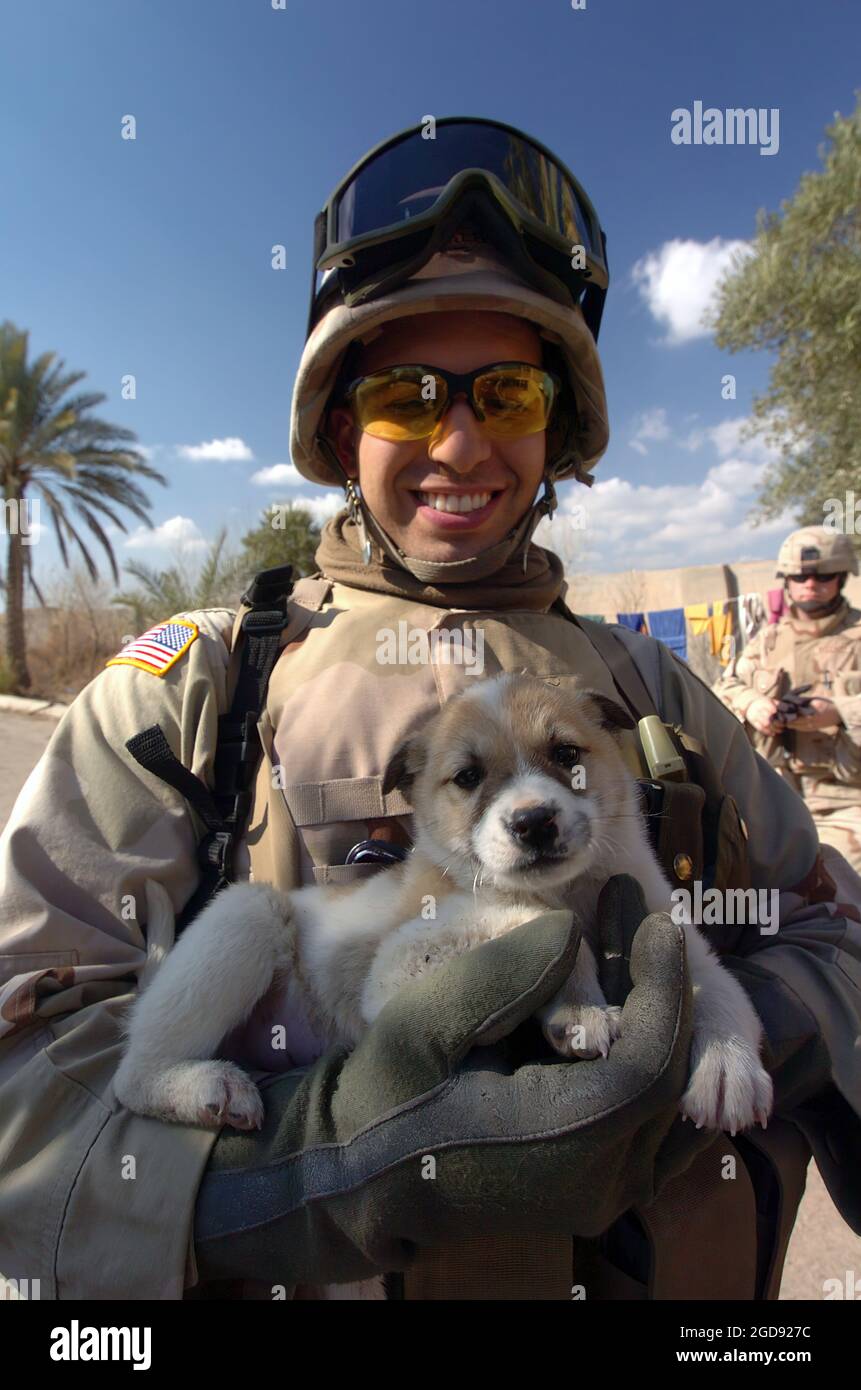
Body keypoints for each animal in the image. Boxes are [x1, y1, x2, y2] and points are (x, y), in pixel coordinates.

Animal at [114, 672, 773, 1139]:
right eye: (468, 777)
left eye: (567, 755)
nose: (533, 822)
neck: (572, 887)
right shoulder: (398, 968)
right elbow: (543, 922)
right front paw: (578, 1005)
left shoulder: (675, 932)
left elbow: (722, 989)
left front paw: (727, 1069)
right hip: (247, 914)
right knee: (131, 1075)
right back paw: (209, 1088)